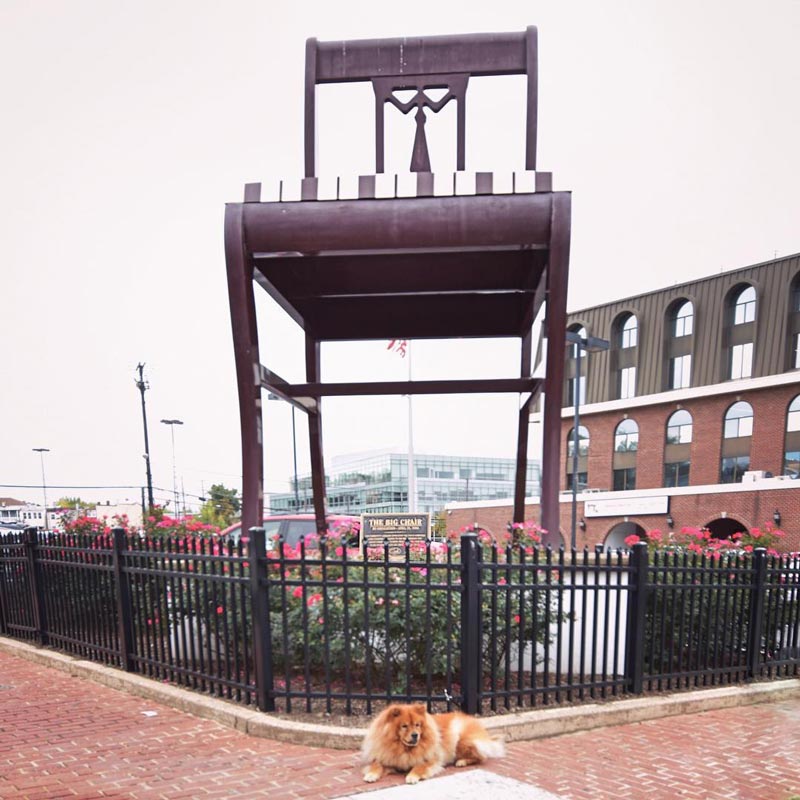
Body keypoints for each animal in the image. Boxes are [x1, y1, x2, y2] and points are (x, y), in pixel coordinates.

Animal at [362, 704, 506, 784]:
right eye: (404, 726)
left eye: (417, 725)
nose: (415, 735)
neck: (404, 749)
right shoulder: (386, 757)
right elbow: (376, 765)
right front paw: (371, 775)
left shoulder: (430, 759)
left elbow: (419, 767)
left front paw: (412, 777)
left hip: (461, 741)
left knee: (481, 757)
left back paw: (461, 762)